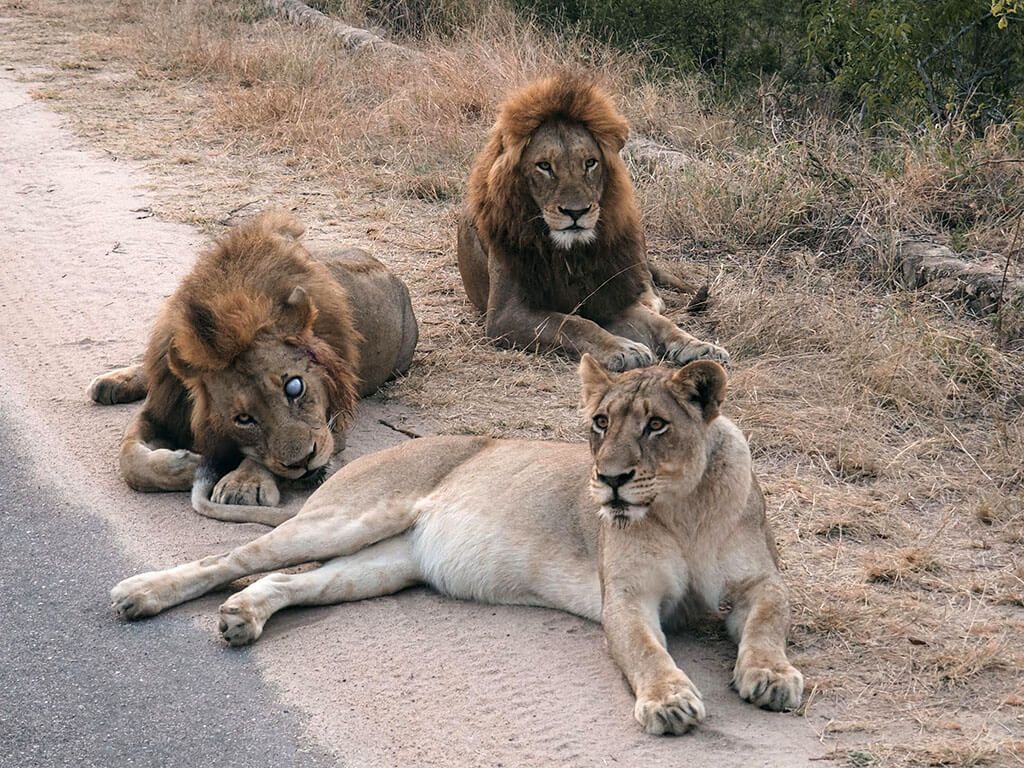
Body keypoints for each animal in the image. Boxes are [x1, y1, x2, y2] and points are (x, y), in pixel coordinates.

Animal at [89, 210, 418, 525]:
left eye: (295, 387)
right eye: (243, 419)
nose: (303, 462)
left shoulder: (334, 422)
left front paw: (243, 482)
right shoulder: (164, 407)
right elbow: (129, 459)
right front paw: (190, 465)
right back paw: (112, 382)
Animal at [110, 356, 802, 734]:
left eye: (656, 425)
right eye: (600, 423)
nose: (608, 478)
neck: (683, 508)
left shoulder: (761, 582)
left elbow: (770, 621)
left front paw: (771, 676)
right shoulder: (627, 598)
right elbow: (647, 653)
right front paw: (670, 701)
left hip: (384, 566)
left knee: (287, 580)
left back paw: (241, 616)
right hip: (343, 519)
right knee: (228, 559)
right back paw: (139, 593)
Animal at [457, 74, 730, 372]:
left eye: (590, 163)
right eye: (544, 166)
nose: (576, 212)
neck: (568, 253)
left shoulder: (608, 297)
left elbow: (660, 324)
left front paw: (698, 345)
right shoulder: (506, 315)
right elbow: (572, 324)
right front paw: (623, 348)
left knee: (651, 292)